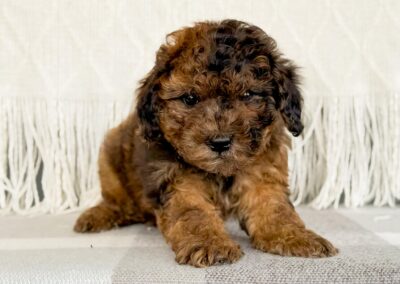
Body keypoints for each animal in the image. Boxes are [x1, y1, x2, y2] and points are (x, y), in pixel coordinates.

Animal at [74, 19, 338, 266]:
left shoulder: (263, 171)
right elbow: (193, 213)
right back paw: (96, 215)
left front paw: (296, 236)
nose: (220, 142)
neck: (220, 172)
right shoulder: (177, 181)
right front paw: (210, 244)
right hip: (109, 155)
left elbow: (274, 206)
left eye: (248, 95)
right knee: (116, 199)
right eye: (190, 98)